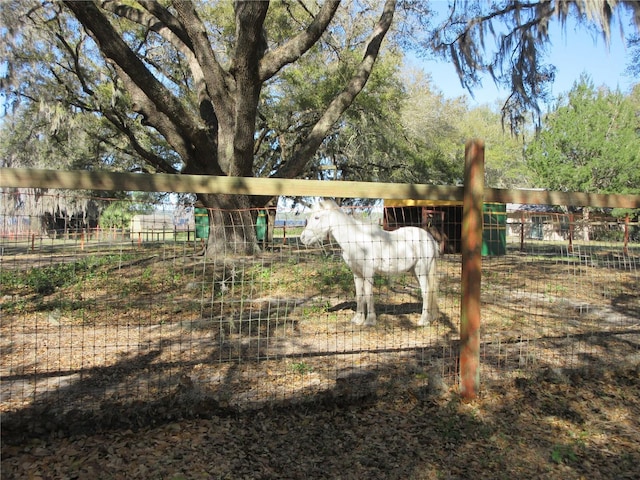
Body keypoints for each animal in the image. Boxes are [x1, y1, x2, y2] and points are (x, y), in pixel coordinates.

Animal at [300, 199, 440, 326]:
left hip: (421, 270)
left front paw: (370, 321)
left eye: (317, 217)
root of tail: (429, 238)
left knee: (426, 291)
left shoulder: (368, 272)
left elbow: (368, 294)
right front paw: (358, 319)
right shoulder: (357, 273)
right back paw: (430, 318)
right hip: (414, 271)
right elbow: (359, 295)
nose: (303, 238)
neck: (356, 240)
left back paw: (423, 321)